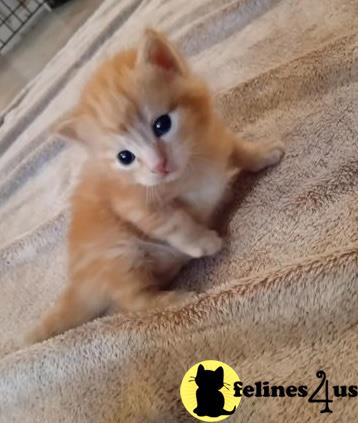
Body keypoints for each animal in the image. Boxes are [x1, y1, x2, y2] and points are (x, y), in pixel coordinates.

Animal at [27, 29, 286, 344]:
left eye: (162, 124)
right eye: (125, 157)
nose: (158, 166)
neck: (191, 167)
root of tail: (81, 282)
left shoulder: (215, 137)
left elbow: (238, 149)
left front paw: (264, 153)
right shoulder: (134, 204)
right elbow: (175, 222)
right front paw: (204, 242)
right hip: (121, 256)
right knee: (132, 303)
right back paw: (177, 298)